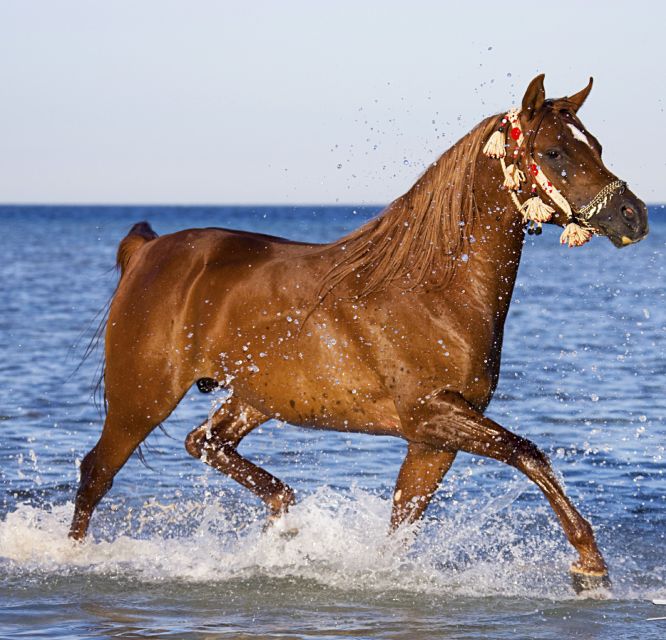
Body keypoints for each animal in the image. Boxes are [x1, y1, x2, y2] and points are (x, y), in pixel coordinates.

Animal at [71, 76, 644, 596]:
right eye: (554, 151)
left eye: (596, 146)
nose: (633, 216)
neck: (433, 289)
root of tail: (147, 250)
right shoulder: (432, 414)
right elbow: (529, 454)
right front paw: (590, 565)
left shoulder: (433, 438)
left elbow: (403, 525)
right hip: (141, 399)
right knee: (97, 472)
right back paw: (74, 558)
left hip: (254, 397)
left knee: (206, 443)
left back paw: (285, 520)